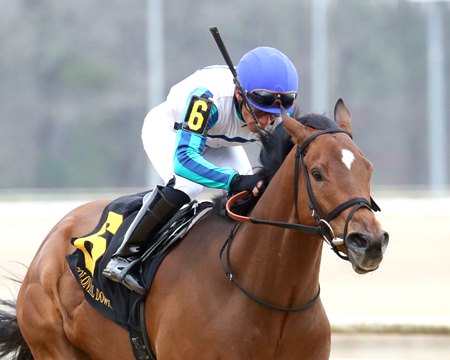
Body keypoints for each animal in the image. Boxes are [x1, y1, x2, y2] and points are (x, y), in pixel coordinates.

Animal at [0, 99, 386, 360]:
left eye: (368, 167)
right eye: (318, 173)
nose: (368, 242)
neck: (269, 298)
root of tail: (51, 242)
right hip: (53, 344)